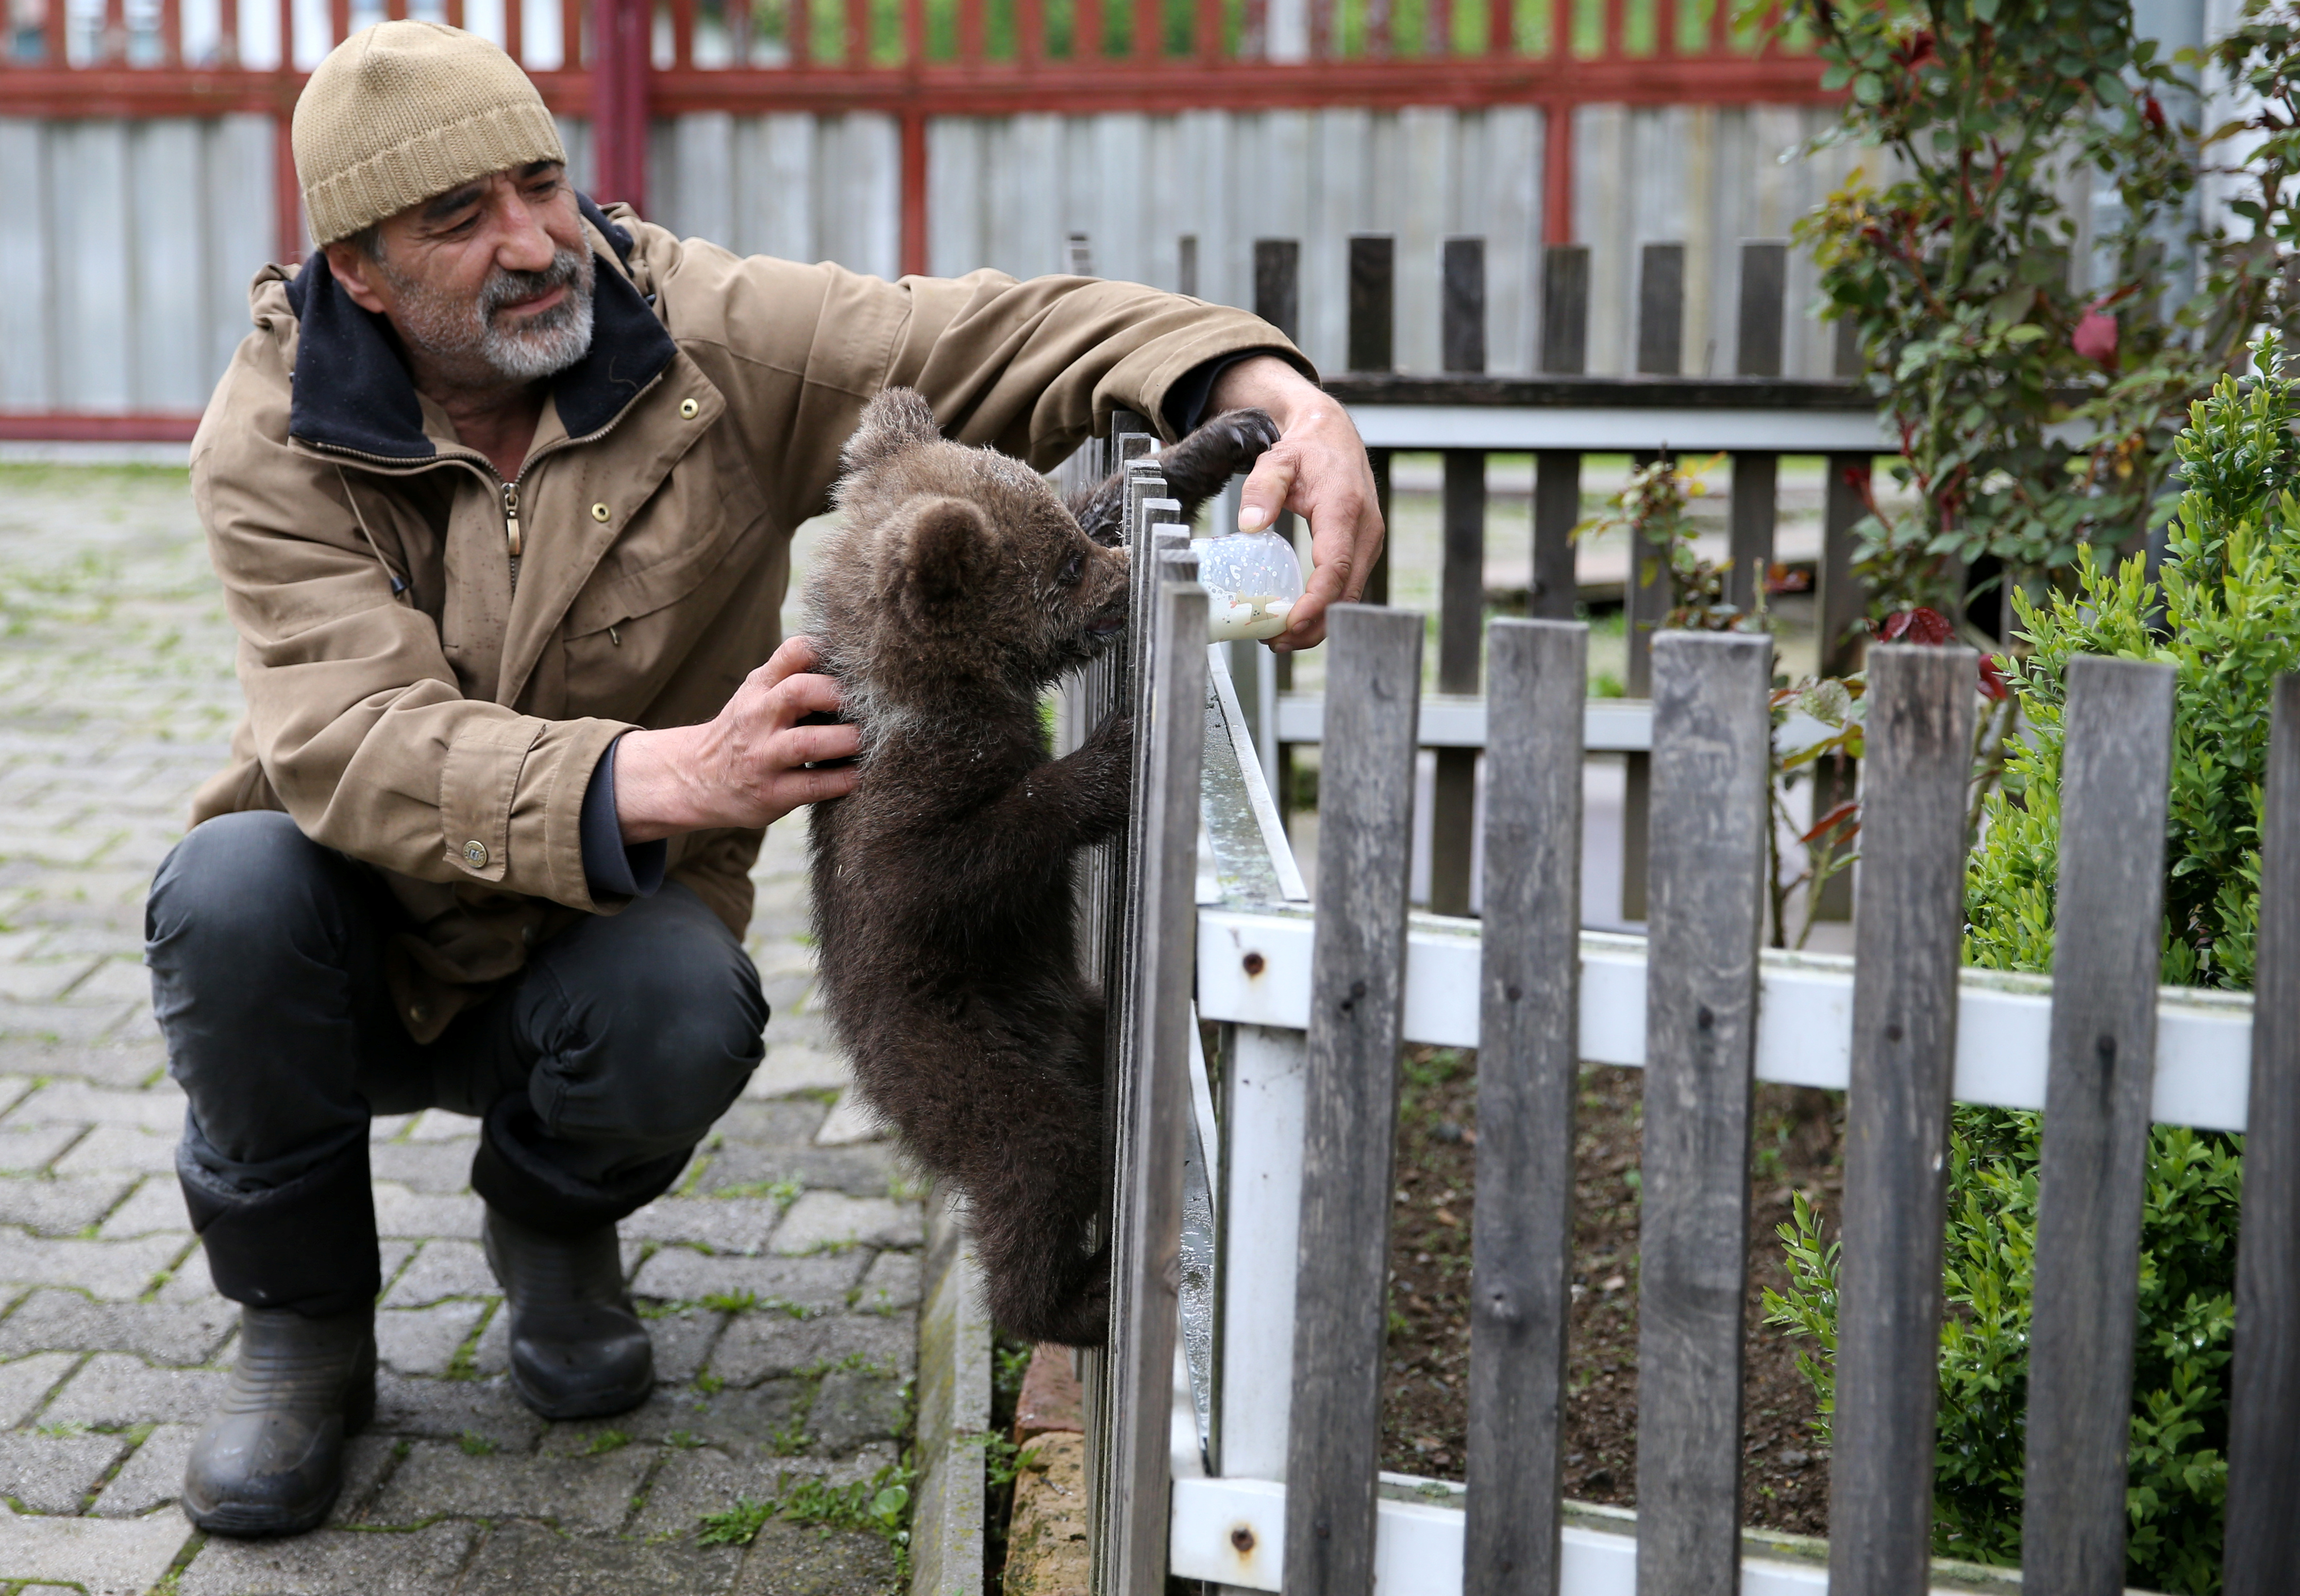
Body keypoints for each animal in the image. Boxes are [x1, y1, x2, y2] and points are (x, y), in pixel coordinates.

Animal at [804, 388, 1276, 1346]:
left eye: (1073, 538)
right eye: (1063, 567)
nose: (1126, 570)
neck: (943, 687)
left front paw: (1227, 434)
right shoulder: (893, 805)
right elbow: (947, 866)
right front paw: (1114, 751)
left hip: (1076, 1020)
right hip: (953, 1056)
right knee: (1041, 1156)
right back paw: (1070, 1298)